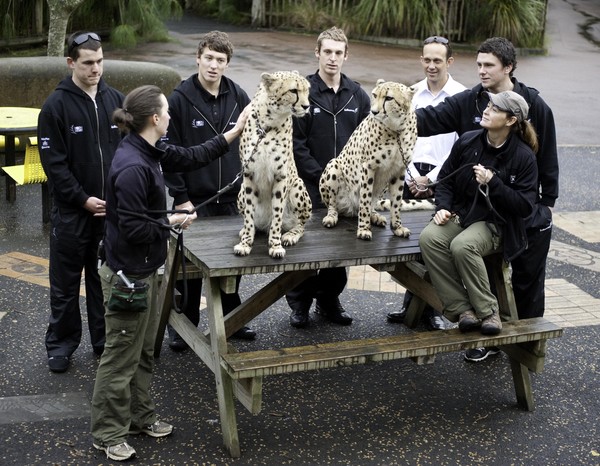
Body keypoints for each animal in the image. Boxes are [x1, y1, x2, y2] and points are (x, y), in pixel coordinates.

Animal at [233, 72, 312, 258]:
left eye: (307, 90)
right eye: (293, 90)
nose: (307, 106)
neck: (269, 122)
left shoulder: (281, 176)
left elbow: (277, 214)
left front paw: (275, 246)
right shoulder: (248, 174)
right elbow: (249, 214)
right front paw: (246, 243)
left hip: (297, 185)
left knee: (301, 224)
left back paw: (290, 235)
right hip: (240, 190)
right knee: (254, 222)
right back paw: (247, 231)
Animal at [318, 79, 418, 240]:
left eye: (389, 98)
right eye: (375, 95)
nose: (374, 112)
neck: (396, 130)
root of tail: (351, 209)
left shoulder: (399, 170)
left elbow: (396, 201)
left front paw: (397, 227)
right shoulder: (368, 166)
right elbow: (365, 198)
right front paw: (364, 229)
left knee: (372, 204)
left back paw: (375, 216)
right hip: (334, 165)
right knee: (334, 205)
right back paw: (331, 217)